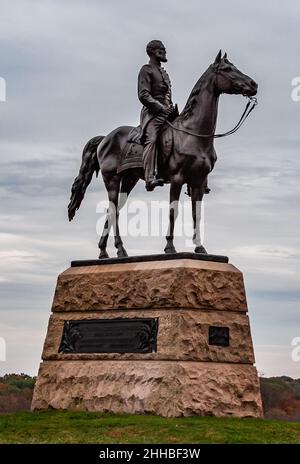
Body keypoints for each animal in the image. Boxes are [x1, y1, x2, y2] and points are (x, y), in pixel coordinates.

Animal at [68, 53, 258, 260]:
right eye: (227, 69)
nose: (253, 84)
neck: (192, 133)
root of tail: (105, 138)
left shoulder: (198, 182)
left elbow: (196, 214)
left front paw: (200, 247)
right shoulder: (177, 178)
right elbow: (173, 212)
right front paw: (169, 247)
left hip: (129, 180)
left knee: (114, 211)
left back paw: (106, 251)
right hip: (112, 179)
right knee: (112, 209)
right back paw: (119, 249)